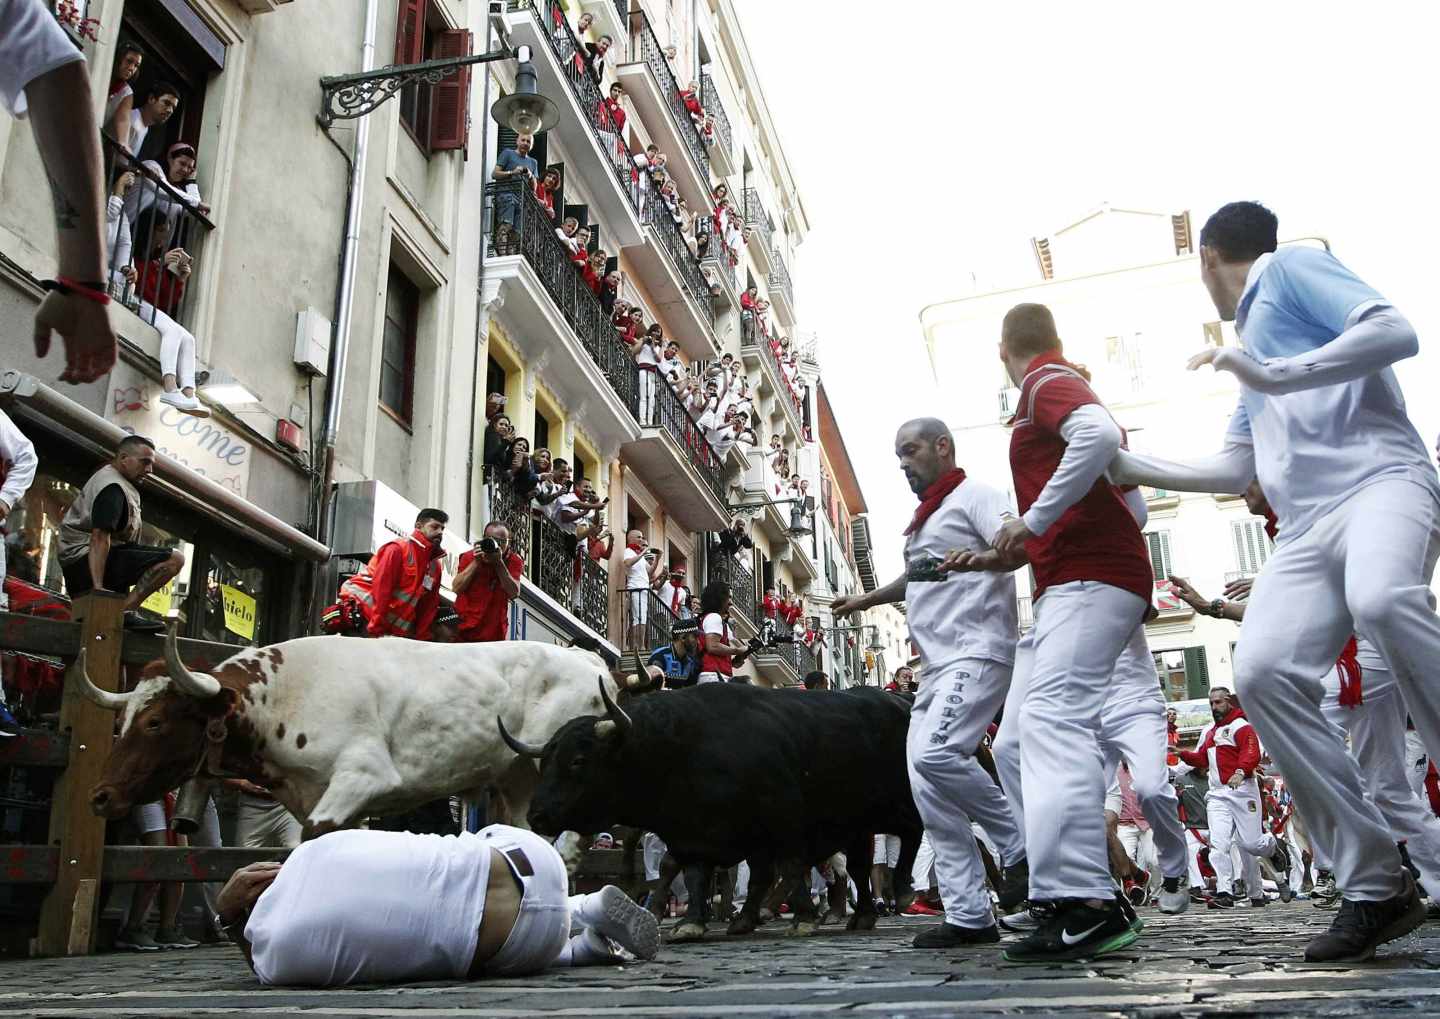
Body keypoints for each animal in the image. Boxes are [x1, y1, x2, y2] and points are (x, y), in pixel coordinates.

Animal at [74, 627, 624, 834]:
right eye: (123, 720)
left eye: (155, 722)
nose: (99, 796)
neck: (284, 695)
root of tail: (588, 659)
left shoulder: (363, 776)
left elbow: (313, 837)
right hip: (516, 781)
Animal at [512, 679, 921, 932]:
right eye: (545, 763)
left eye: (578, 761)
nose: (536, 815)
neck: (679, 751)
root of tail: (900, 701)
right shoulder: (695, 833)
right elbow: (697, 875)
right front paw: (694, 921)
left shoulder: (784, 819)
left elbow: (789, 867)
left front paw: (803, 917)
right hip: (858, 826)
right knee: (858, 868)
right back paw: (860, 915)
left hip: (900, 803)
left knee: (912, 835)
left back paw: (900, 892)